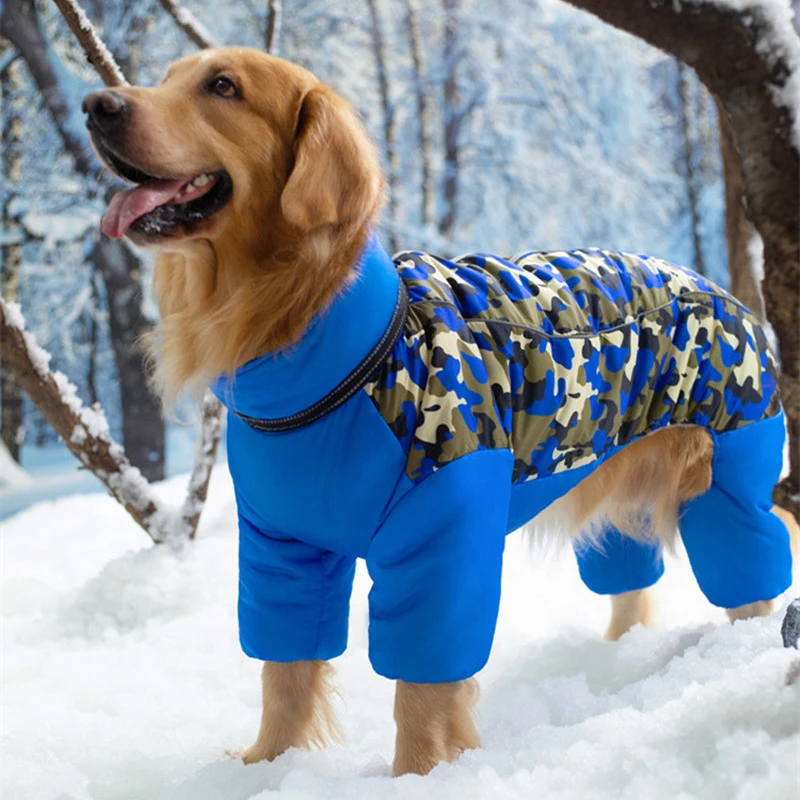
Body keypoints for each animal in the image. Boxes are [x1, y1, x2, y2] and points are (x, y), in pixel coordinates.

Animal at [81, 48, 792, 776]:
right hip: (616, 485)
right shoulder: (282, 545)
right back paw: (614, 661)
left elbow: (420, 689)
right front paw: (266, 768)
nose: (97, 106)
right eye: (167, 78)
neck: (335, 354)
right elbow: (284, 672)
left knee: (752, 570)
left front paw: (418, 776)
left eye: (223, 86)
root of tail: (722, 290)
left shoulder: (441, 536)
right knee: (631, 581)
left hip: (727, 478)